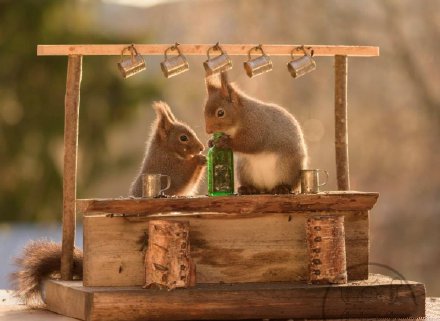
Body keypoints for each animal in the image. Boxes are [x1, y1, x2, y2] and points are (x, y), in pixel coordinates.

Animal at [9, 100, 206, 304]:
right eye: (183, 137)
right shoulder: (171, 171)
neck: (167, 151)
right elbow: (184, 178)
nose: (200, 147)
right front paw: (201, 158)